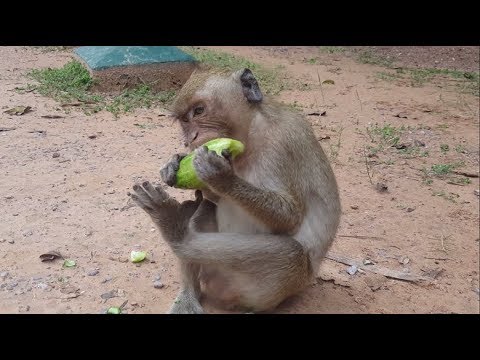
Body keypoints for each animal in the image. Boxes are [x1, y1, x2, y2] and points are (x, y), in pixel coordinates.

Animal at [129, 68, 342, 316]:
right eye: (184, 120)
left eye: (199, 110)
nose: (189, 139)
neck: (250, 133)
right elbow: (213, 196)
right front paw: (174, 163)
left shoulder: (283, 142)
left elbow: (290, 217)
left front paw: (222, 177)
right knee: (205, 208)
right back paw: (189, 290)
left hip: (266, 290)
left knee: (291, 254)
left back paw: (176, 231)